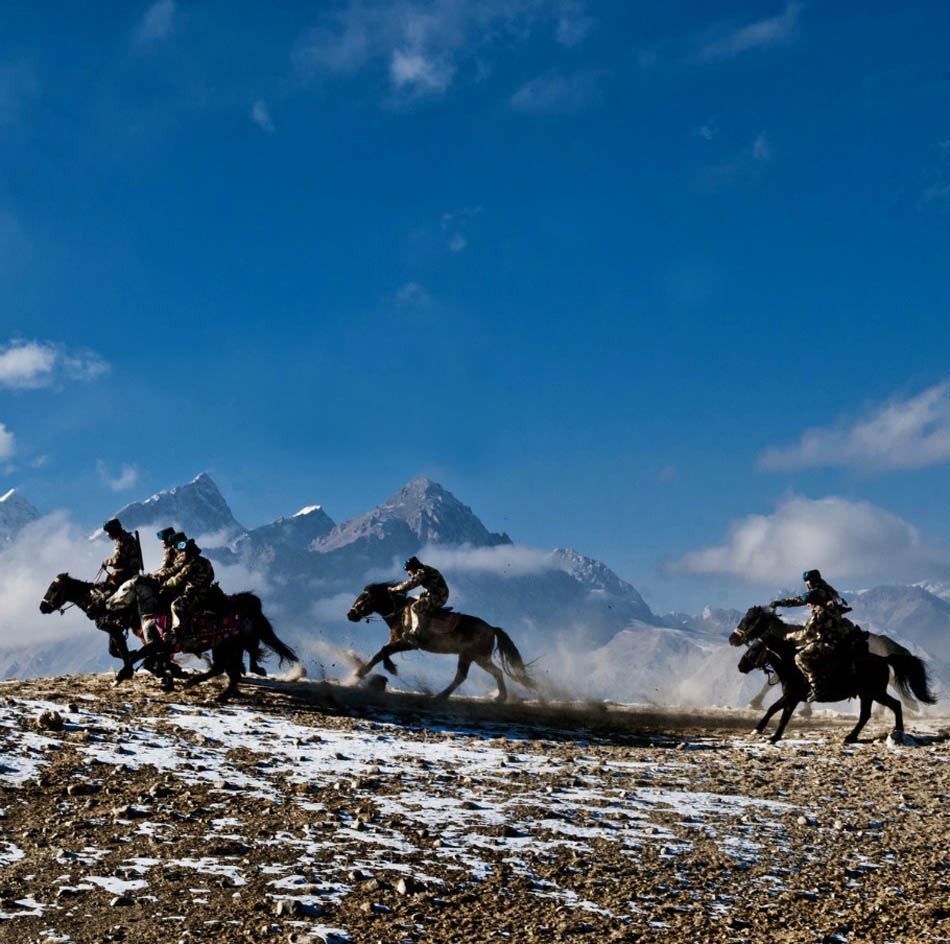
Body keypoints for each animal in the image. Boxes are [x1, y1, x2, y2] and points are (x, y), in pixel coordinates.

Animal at [103, 572, 300, 696]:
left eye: (124, 589)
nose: (107, 603)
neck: (153, 613)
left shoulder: (156, 645)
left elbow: (136, 658)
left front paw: (118, 679)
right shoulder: (162, 649)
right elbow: (151, 663)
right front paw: (168, 680)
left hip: (228, 647)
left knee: (229, 670)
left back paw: (215, 693)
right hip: (224, 648)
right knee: (225, 669)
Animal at [348, 580, 544, 704]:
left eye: (365, 597)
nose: (350, 614)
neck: (400, 613)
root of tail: (492, 628)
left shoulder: (408, 643)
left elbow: (383, 651)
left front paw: (374, 671)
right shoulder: (397, 642)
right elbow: (381, 653)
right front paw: (362, 672)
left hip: (472, 656)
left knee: (464, 676)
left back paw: (441, 696)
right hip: (476, 657)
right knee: (492, 673)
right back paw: (498, 698)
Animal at [728, 604, 936, 744]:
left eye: (748, 621)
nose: (740, 666)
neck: (791, 663)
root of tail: (883, 658)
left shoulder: (792, 697)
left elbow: (783, 715)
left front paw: (774, 735)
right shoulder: (789, 696)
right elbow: (772, 709)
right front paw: (758, 729)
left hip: (874, 692)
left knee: (895, 703)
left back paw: (899, 729)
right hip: (867, 694)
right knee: (868, 714)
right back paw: (852, 736)